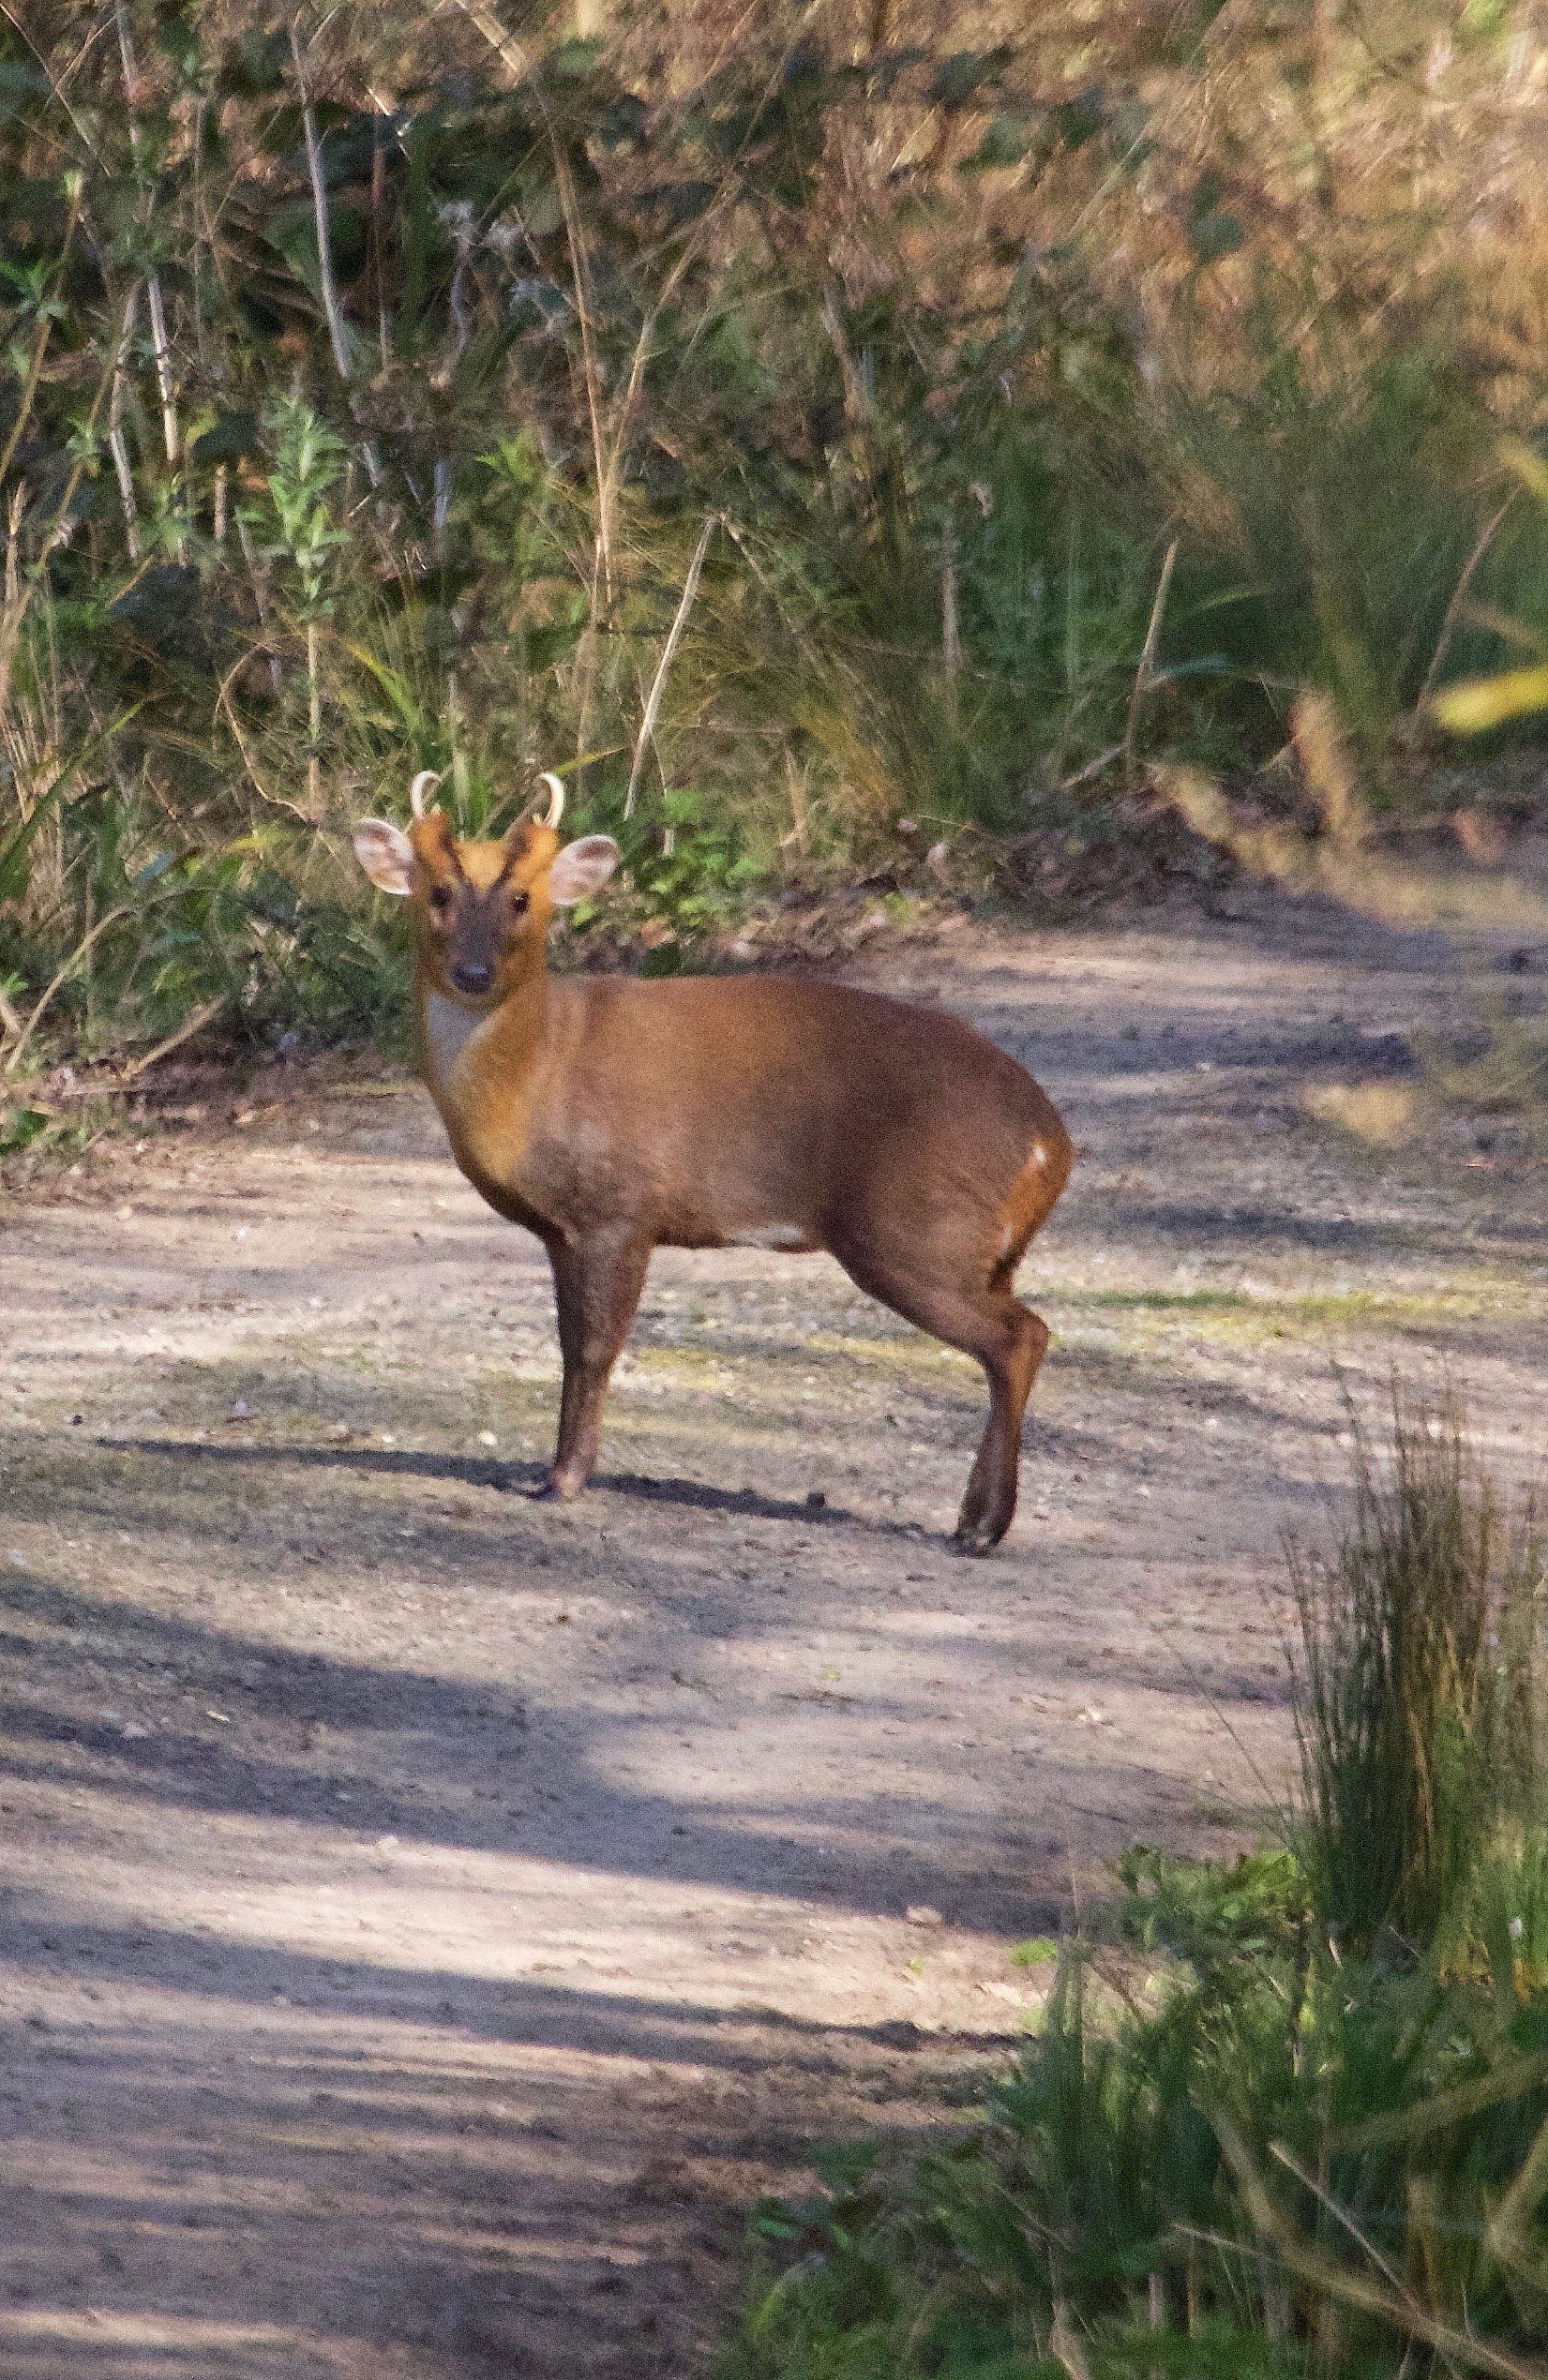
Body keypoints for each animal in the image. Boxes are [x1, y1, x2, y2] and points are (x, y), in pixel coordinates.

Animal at [354, 771, 1066, 1551]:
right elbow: (569, 1344)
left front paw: (563, 1480)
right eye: (437, 892)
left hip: (915, 1229)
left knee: (1019, 1336)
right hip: (976, 1251)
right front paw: (554, 1470)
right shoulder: (562, 1229)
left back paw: (981, 1525)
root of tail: (1051, 1142)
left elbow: (594, 1348)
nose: (474, 972)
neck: (538, 1068)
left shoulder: (620, 1208)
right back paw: (976, 1517)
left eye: (521, 898)